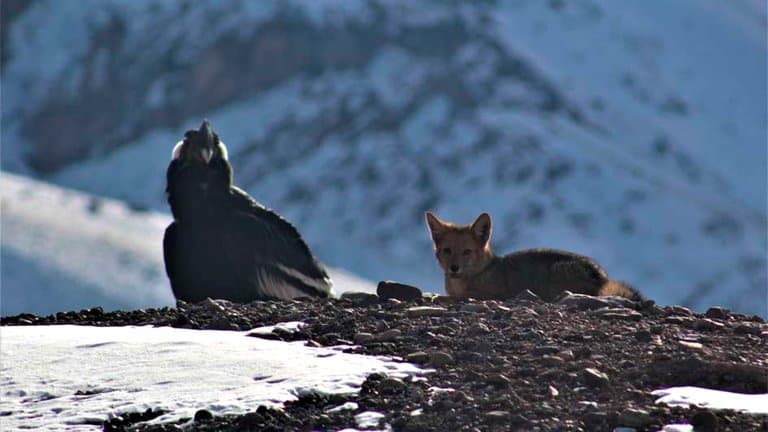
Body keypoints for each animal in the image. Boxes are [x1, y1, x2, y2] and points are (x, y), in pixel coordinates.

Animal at [426, 212, 640, 300]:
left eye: (467, 252)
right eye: (447, 250)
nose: (454, 268)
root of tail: (602, 277)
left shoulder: (495, 294)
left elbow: (462, 296)